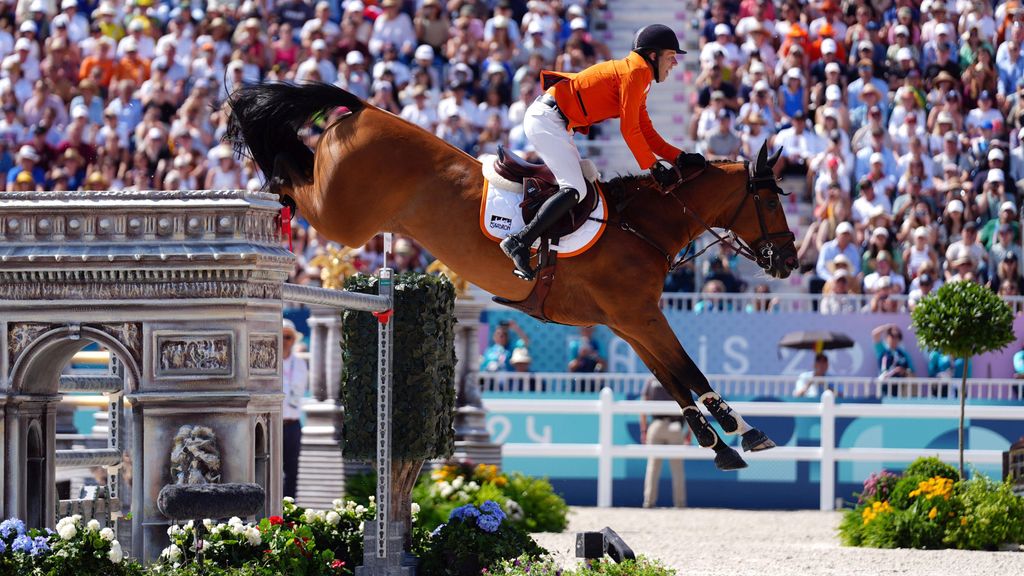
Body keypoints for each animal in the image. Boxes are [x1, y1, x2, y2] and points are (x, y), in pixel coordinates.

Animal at [224, 80, 798, 469]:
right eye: (771, 200)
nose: (789, 261)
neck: (642, 226)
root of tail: (363, 110)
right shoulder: (640, 316)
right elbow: (689, 372)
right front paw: (742, 433)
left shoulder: (630, 322)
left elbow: (676, 380)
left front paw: (724, 444)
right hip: (342, 217)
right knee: (291, 174)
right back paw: (267, 198)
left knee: (294, 163)